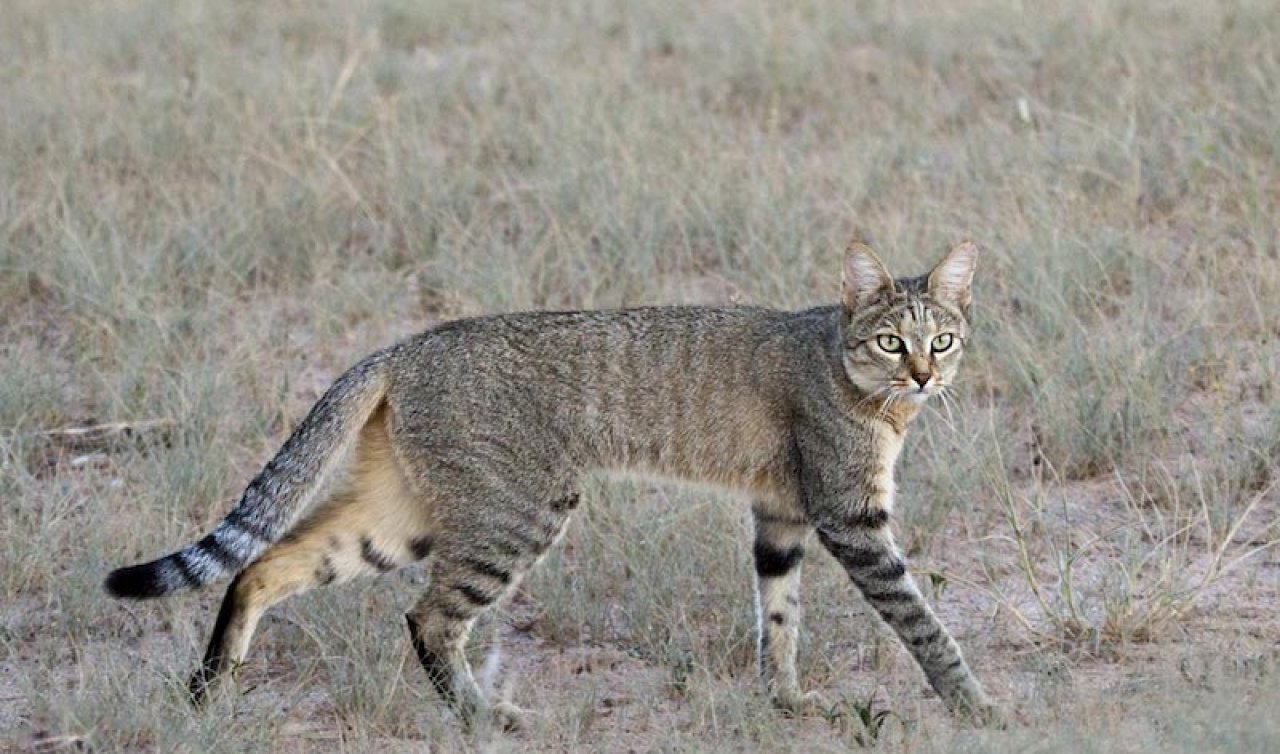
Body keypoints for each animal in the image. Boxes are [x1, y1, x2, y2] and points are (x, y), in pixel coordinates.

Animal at [104, 239, 998, 727]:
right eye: (889, 341)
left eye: (944, 339)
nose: (923, 376)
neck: (862, 387)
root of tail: (404, 346)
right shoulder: (851, 517)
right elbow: (922, 622)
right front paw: (976, 706)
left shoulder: (780, 516)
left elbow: (779, 618)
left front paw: (785, 702)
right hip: (519, 513)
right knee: (428, 616)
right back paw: (480, 716)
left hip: (397, 519)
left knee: (259, 566)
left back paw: (210, 689)